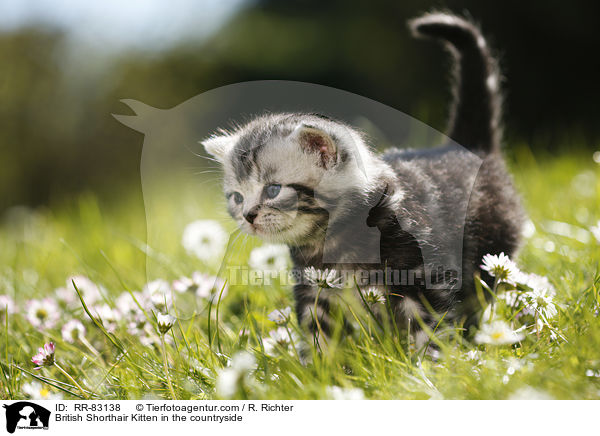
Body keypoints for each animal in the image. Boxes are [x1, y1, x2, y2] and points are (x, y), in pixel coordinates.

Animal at [204, 13, 524, 346]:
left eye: (273, 190)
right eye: (237, 197)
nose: (247, 216)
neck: (336, 240)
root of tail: (467, 148)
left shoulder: (423, 278)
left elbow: (427, 333)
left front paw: (430, 360)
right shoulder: (315, 288)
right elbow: (319, 340)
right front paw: (320, 362)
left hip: (491, 249)